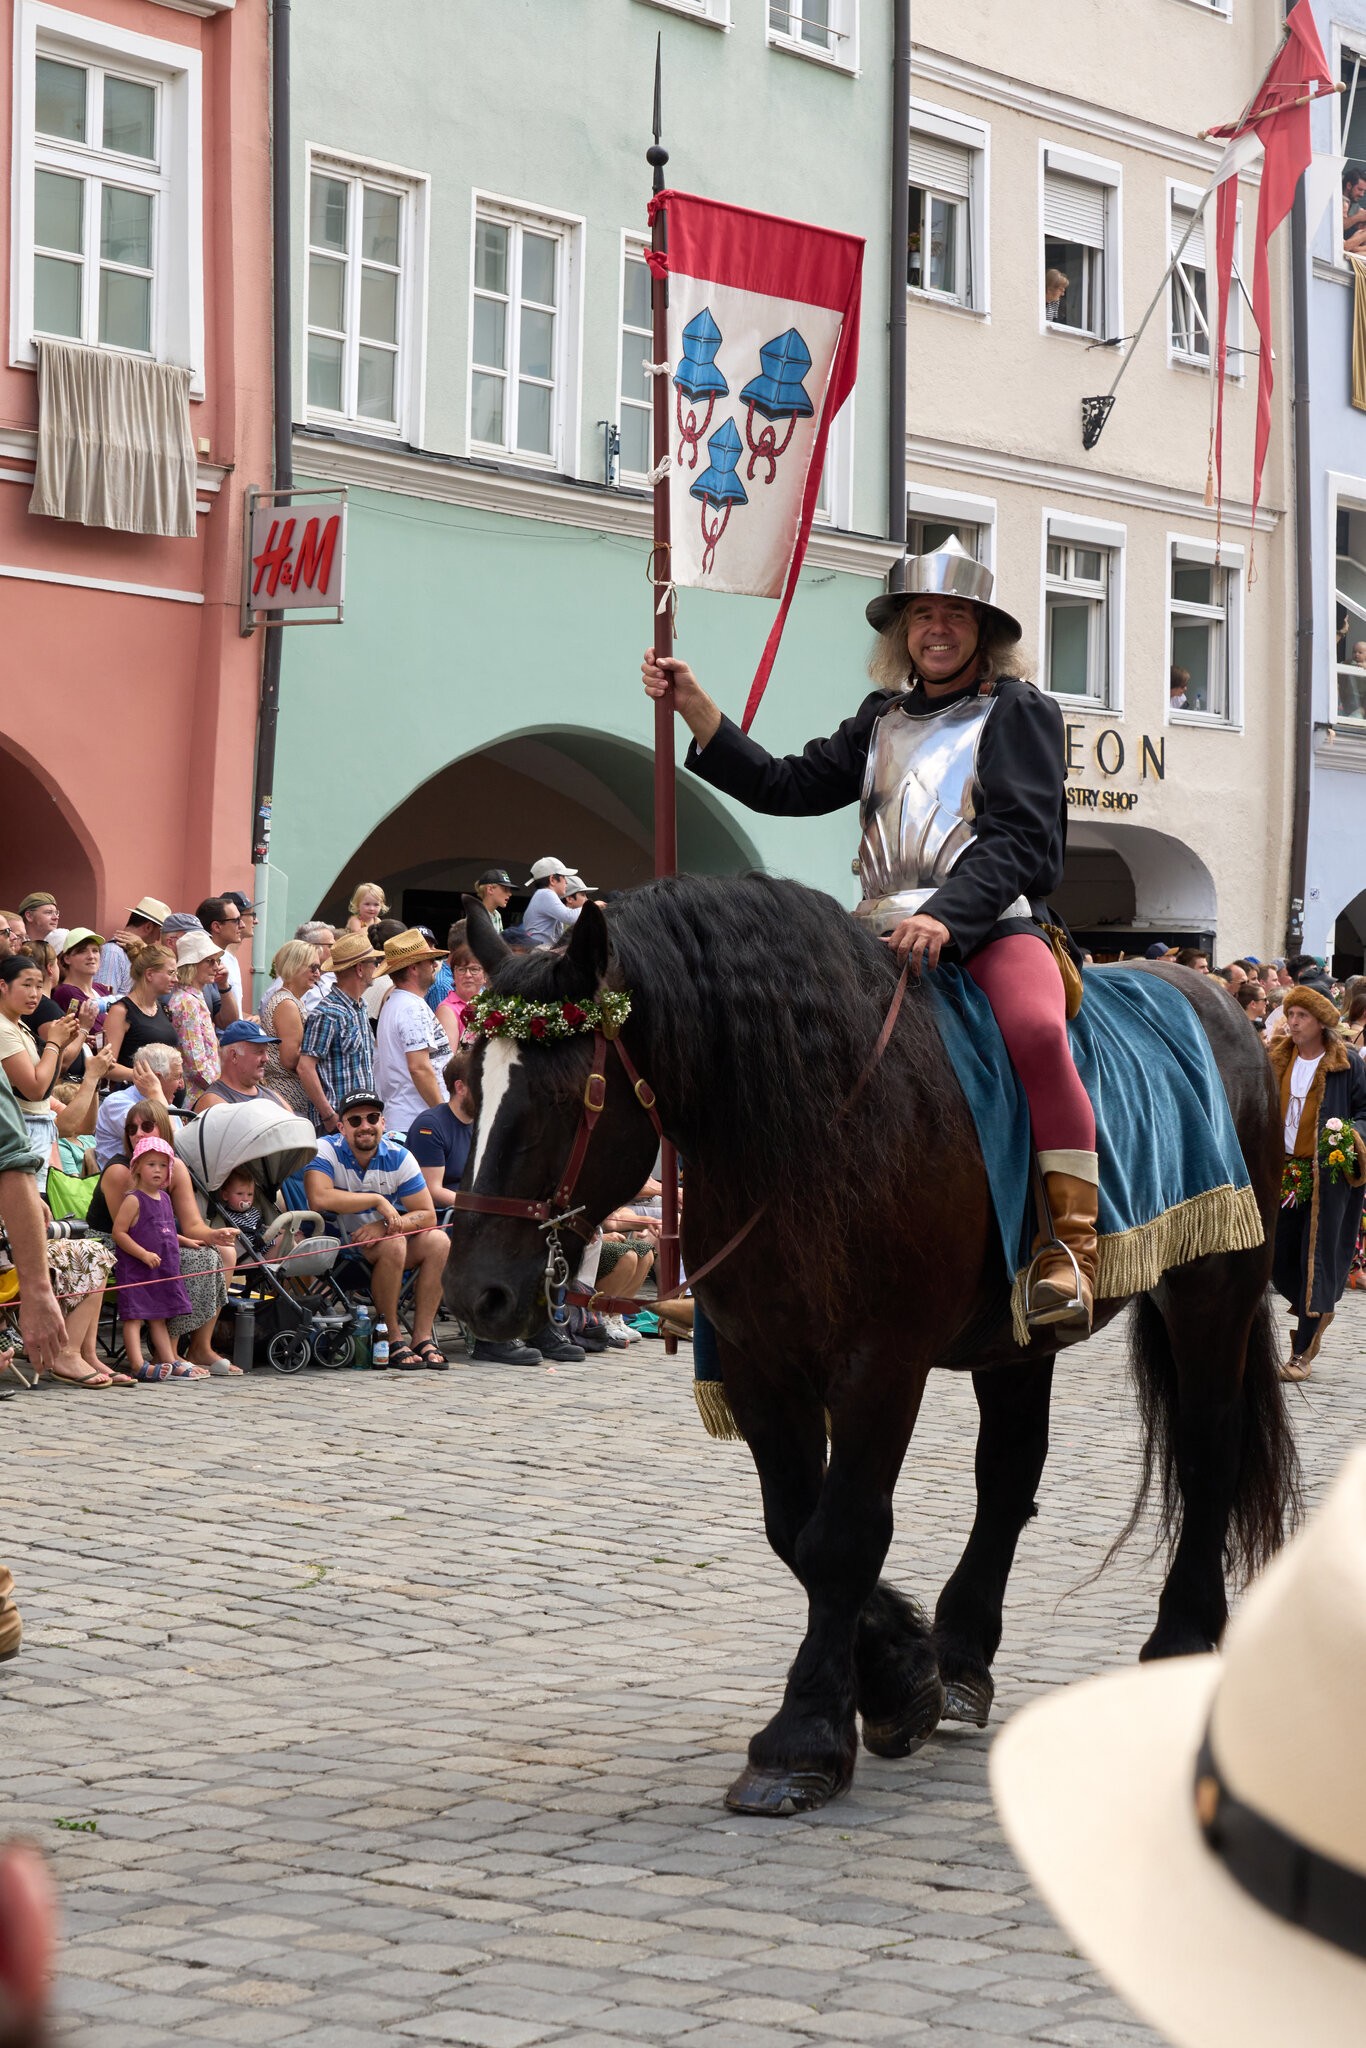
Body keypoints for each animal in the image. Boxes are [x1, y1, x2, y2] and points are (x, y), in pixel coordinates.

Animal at [450, 872, 1302, 1818]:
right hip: (1019, 1339)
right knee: (1010, 1473)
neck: (817, 1118)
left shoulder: (881, 1365)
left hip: (1212, 1291)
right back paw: (963, 1659)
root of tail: (1219, 999)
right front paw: (902, 1678)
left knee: (1208, 1451)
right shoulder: (760, 1362)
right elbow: (793, 1529)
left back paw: (1180, 1640)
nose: (476, 1295)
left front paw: (804, 1740)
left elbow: (843, 1533)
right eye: (461, 1083)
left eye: (564, 1100)